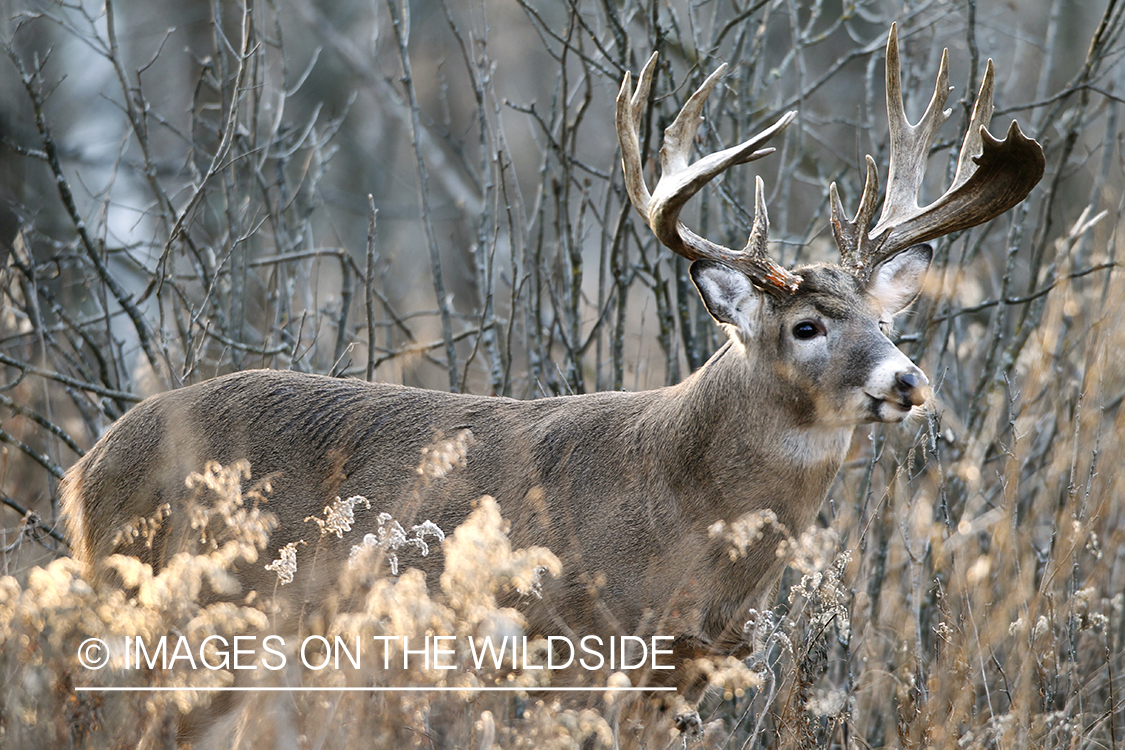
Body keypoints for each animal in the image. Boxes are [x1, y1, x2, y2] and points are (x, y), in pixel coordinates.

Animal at [59, 24, 1044, 697]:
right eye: (804, 325)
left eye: (885, 317)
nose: (906, 380)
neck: (680, 511)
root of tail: (85, 469)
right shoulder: (569, 642)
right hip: (162, 610)